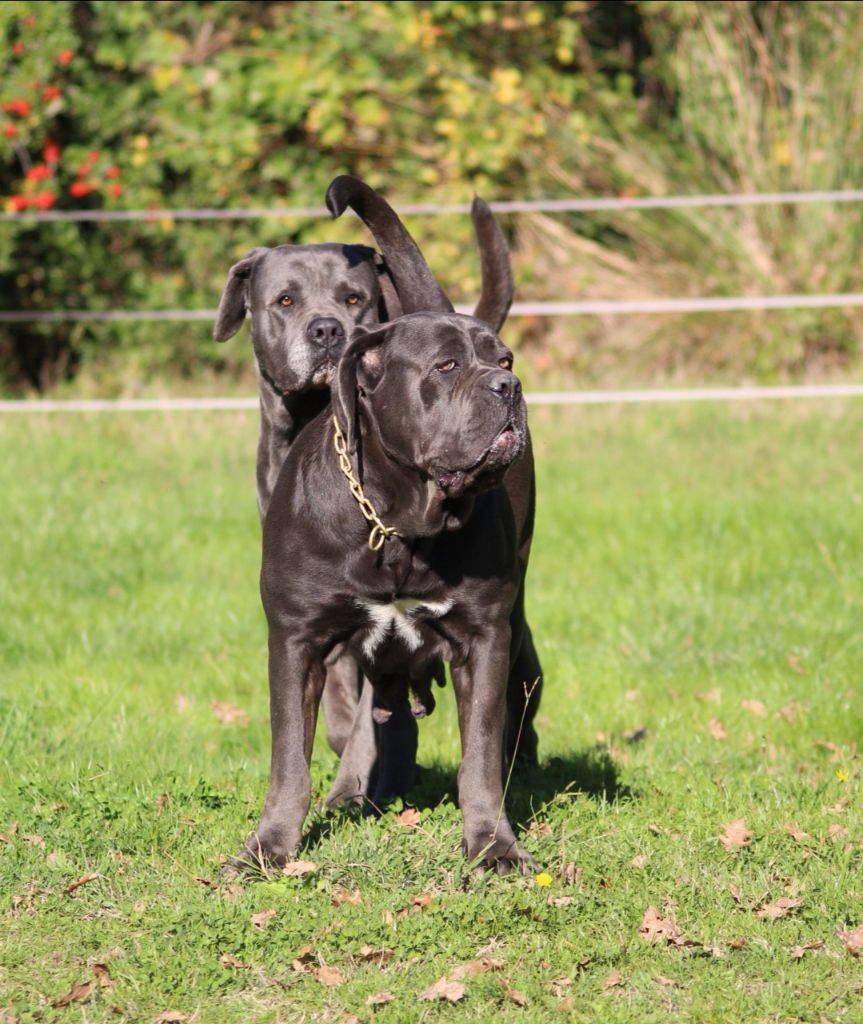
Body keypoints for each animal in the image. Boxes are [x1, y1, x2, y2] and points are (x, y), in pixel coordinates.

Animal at [244, 303, 540, 872]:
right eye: (447, 365)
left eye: (505, 360)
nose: (509, 386)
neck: (401, 522)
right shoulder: (296, 641)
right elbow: (290, 759)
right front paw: (269, 847)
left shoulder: (485, 640)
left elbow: (480, 756)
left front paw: (494, 845)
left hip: (516, 636)